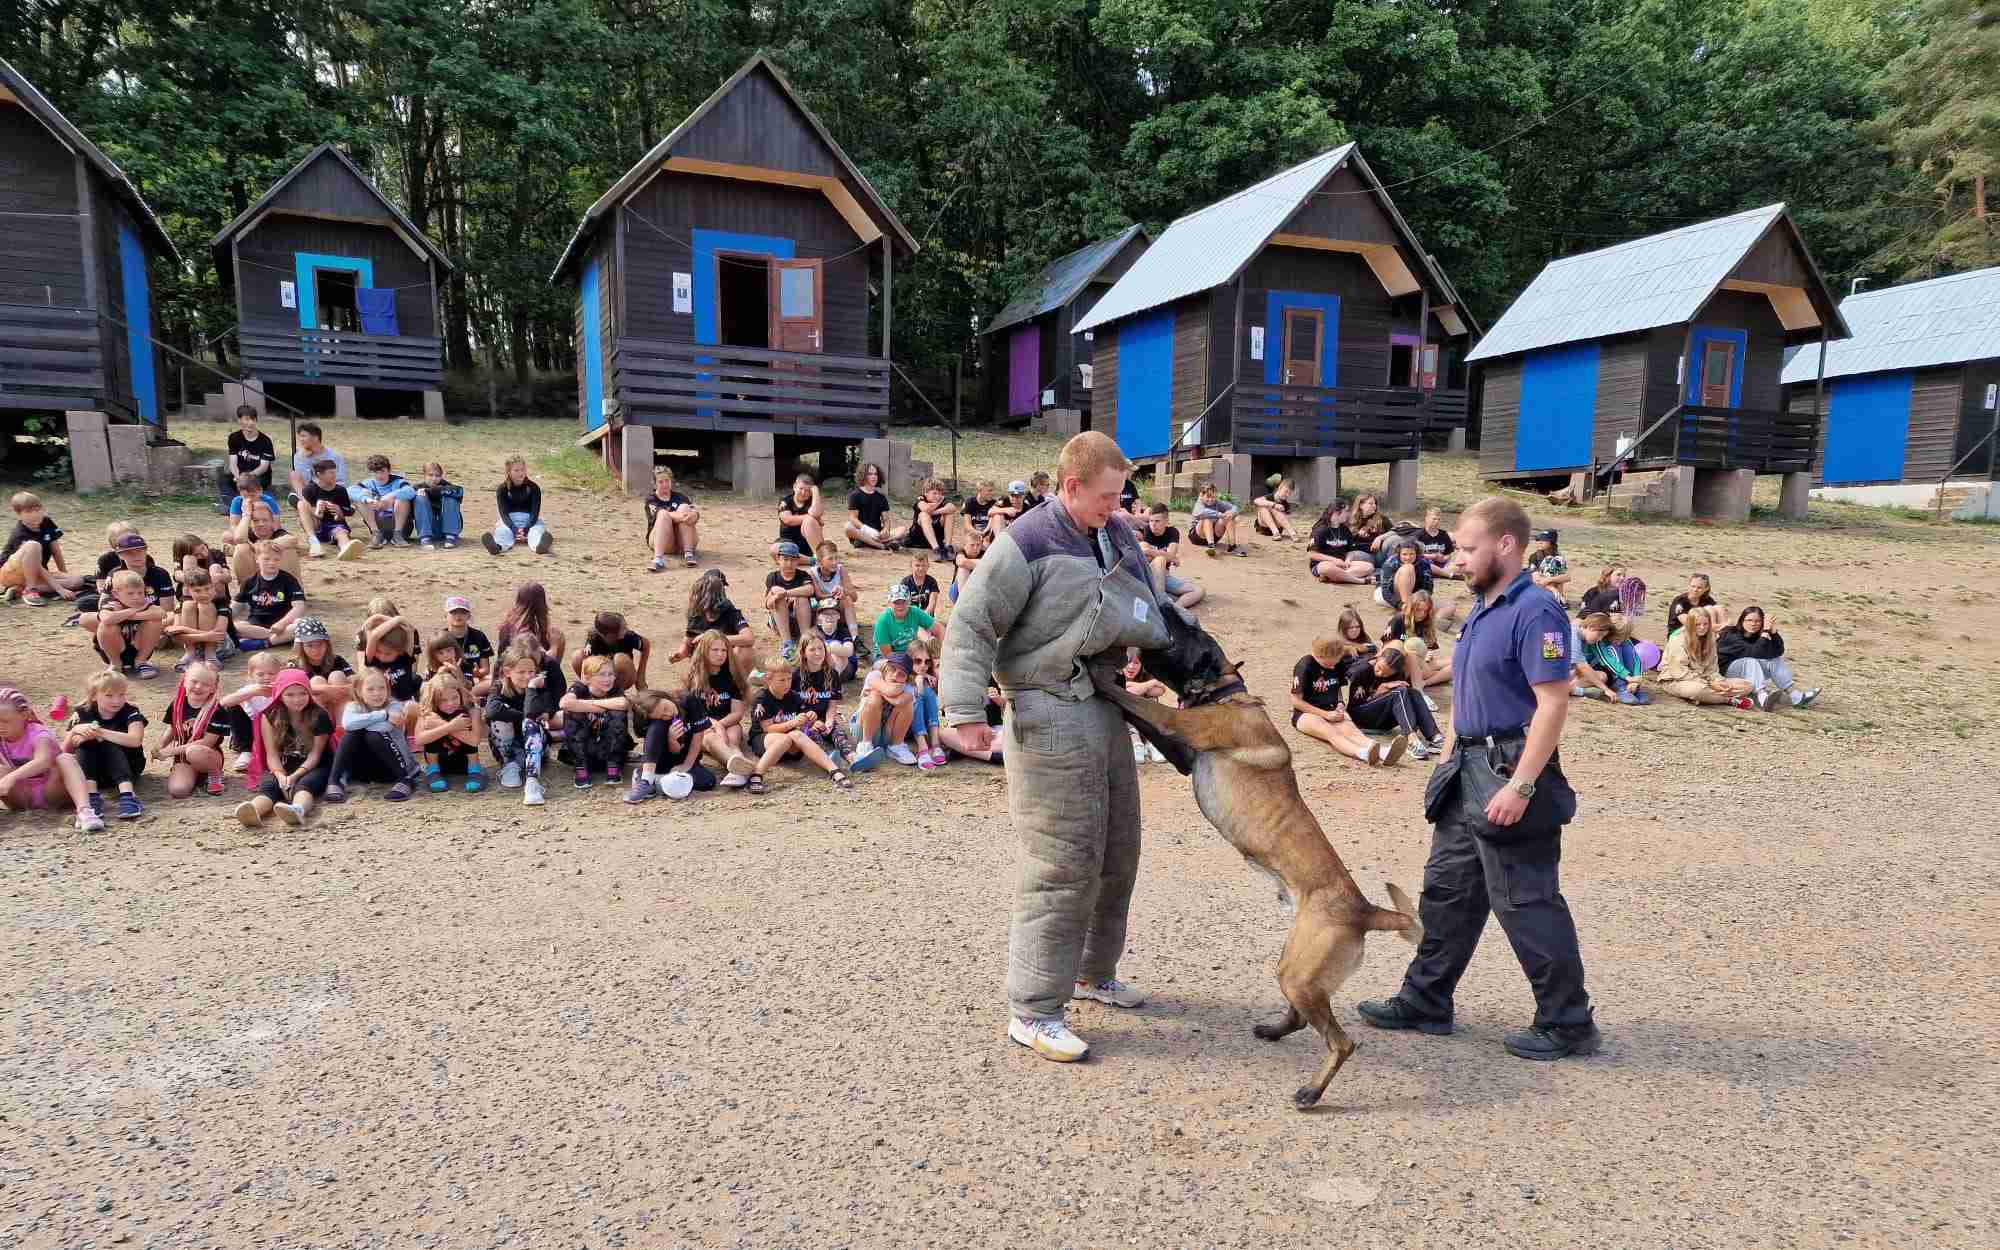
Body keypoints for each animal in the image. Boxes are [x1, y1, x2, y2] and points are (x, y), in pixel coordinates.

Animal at [1096, 608, 1424, 1104]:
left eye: (1186, 631)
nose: (1166, 605)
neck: (1227, 693)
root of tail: (1365, 909)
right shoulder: (1180, 750)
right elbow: (1137, 712)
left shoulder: (1178, 725)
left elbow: (1132, 700)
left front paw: (1096, 676)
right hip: (1295, 965)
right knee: (1304, 1018)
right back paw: (1274, 1031)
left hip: (1300, 974)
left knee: (1341, 1042)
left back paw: (1312, 1092)